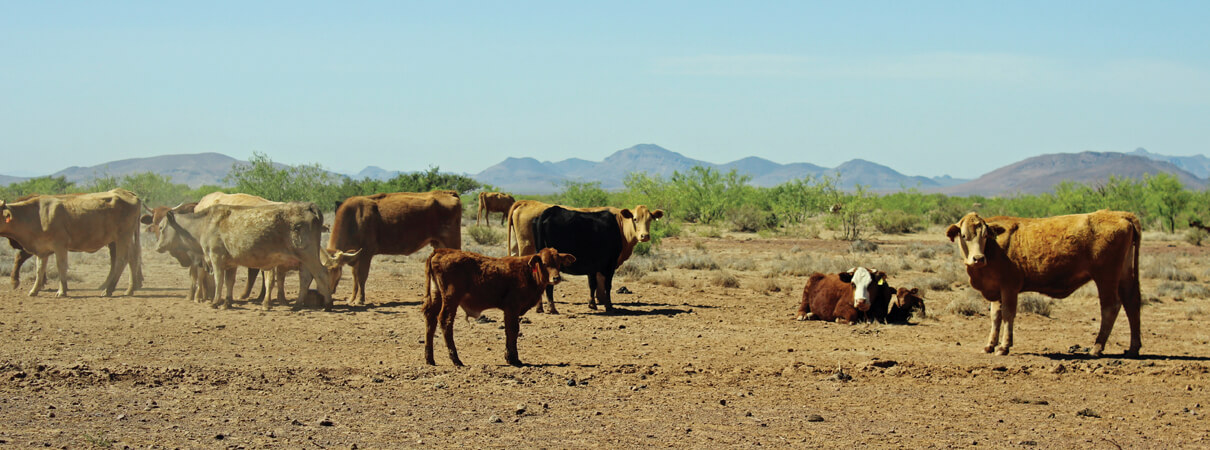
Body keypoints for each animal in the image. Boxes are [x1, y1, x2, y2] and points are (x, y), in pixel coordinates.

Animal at [0, 187, 143, 297]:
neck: (36, 215)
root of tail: (127, 193)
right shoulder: (42, 250)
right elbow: (39, 270)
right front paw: (34, 291)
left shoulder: (60, 246)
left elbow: (61, 266)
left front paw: (62, 291)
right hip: (124, 239)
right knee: (132, 258)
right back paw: (129, 290)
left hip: (123, 237)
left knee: (121, 260)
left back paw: (108, 290)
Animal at [326, 189, 462, 306]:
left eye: (334, 270)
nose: (329, 291)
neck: (354, 218)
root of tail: (449, 193)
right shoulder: (356, 257)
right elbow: (355, 277)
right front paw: (351, 299)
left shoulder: (366, 254)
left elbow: (361, 277)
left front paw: (360, 299)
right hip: (439, 244)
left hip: (452, 243)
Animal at [425, 247, 575, 367]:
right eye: (544, 263)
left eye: (559, 263)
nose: (556, 278)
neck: (528, 272)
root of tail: (441, 251)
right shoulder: (512, 308)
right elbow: (513, 330)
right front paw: (513, 359)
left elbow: (510, 331)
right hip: (451, 298)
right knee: (445, 321)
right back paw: (455, 359)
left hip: (436, 296)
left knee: (430, 320)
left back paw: (430, 358)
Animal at [943, 209, 1142, 355]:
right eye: (964, 235)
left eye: (985, 235)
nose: (978, 258)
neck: (994, 248)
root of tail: (1121, 214)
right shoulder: (996, 288)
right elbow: (995, 316)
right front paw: (989, 345)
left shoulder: (1009, 287)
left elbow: (1007, 314)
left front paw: (1004, 347)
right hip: (1125, 274)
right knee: (1131, 303)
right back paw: (1133, 348)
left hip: (1105, 277)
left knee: (1110, 307)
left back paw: (1097, 347)